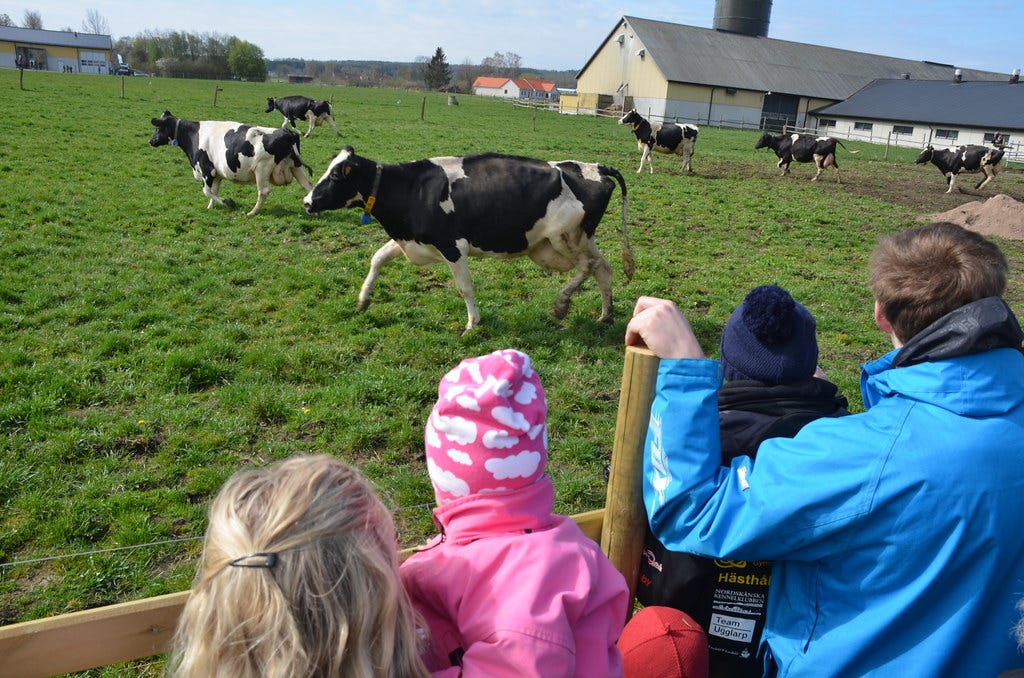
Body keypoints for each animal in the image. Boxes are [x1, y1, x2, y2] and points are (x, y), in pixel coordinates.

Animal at [146, 111, 309, 218]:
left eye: (157, 127)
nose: (151, 141)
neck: (194, 135)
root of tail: (287, 132)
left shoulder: (207, 170)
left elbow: (207, 191)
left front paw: (228, 202)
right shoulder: (216, 175)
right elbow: (213, 191)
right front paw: (210, 207)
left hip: (262, 169)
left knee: (263, 191)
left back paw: (252, 212)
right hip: (296, 166)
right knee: (307, 185)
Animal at [301, 146, 630, 333]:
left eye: (336, 176)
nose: (306, 202)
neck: (411, 189)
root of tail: (597, 167)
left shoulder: (452, 247)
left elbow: (464, 288)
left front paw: (472, 324)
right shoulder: (410, 239)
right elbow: (377, 259)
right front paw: (363, 300)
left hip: (564, 238)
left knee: (588, 267)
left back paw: (562, 304)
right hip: (578, 239)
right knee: (603, 268)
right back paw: (605, 316)